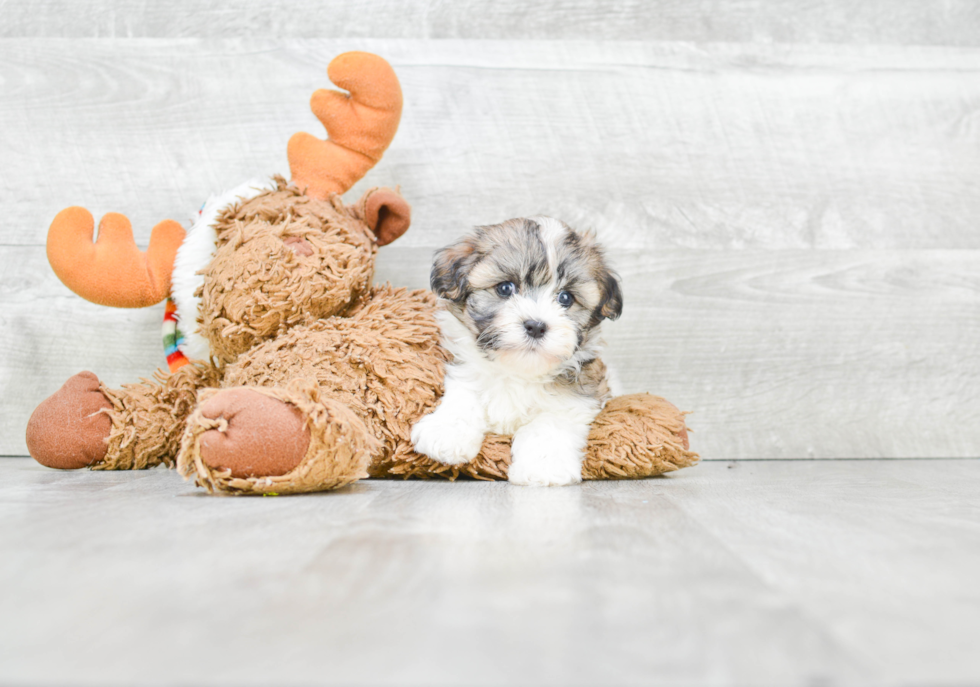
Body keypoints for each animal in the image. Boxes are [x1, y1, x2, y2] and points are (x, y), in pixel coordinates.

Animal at [410, 218, 624, 486]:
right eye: (505, 288)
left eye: (565, 298)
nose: (536, 326)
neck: (518, 371)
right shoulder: (466, 370)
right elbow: (465, 396)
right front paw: (446, 431)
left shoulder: (577, 396)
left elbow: (550, 423)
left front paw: (543, 466)